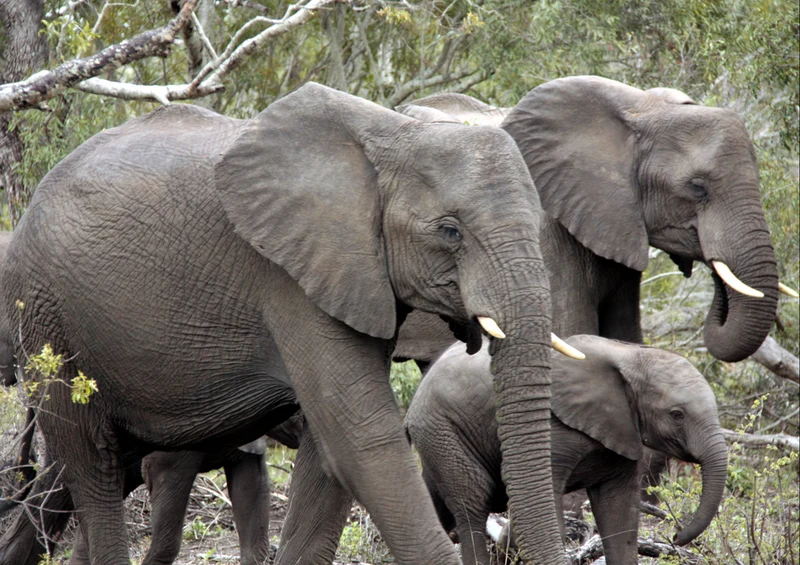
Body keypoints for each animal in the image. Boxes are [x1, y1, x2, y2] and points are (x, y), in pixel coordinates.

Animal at [2, 82, 565, 565]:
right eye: (450, 232)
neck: (394, 134)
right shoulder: (289, 278)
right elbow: (361, 440)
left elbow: (327, 458)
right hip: (51, 321)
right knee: (92, 467)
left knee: (80, 475)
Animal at [405, 335, 728, 565]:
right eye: (677, 414)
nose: (676, 535)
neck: (630, 355)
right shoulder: (552, 429)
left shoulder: (622, 431)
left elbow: (620, 515)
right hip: (442, 428)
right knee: (472, 503)